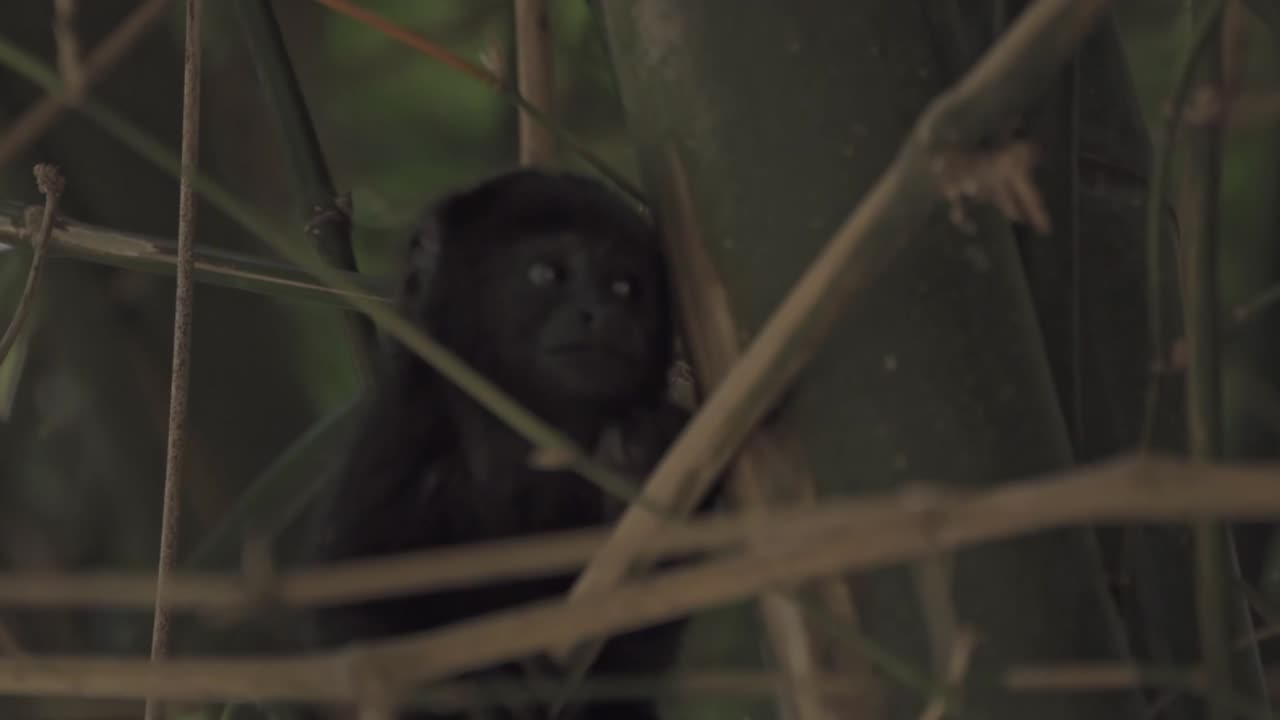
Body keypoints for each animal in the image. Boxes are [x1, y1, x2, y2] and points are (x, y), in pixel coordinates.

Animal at [297, 168, 694, 720]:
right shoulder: (400, 435)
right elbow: (349, 617)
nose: (605, 311)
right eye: (547, 273)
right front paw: (480, 682)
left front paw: (635, 466)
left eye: (626, 286)